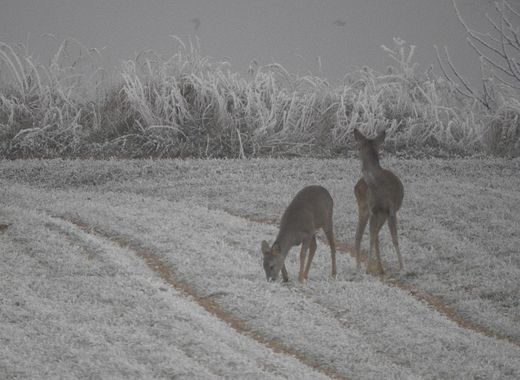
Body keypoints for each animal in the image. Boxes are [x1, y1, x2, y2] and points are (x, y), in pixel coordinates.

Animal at [354, 127, 406, 274]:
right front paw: (367, 267)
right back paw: (362, 265)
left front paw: (401, 266)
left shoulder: (388, 211)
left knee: (370, 234)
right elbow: (375, 238)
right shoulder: (378, 210)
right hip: (366, 208)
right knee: (362, 234)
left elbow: (392, 238)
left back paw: (377, 267)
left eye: (359, 147)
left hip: (377, 213)